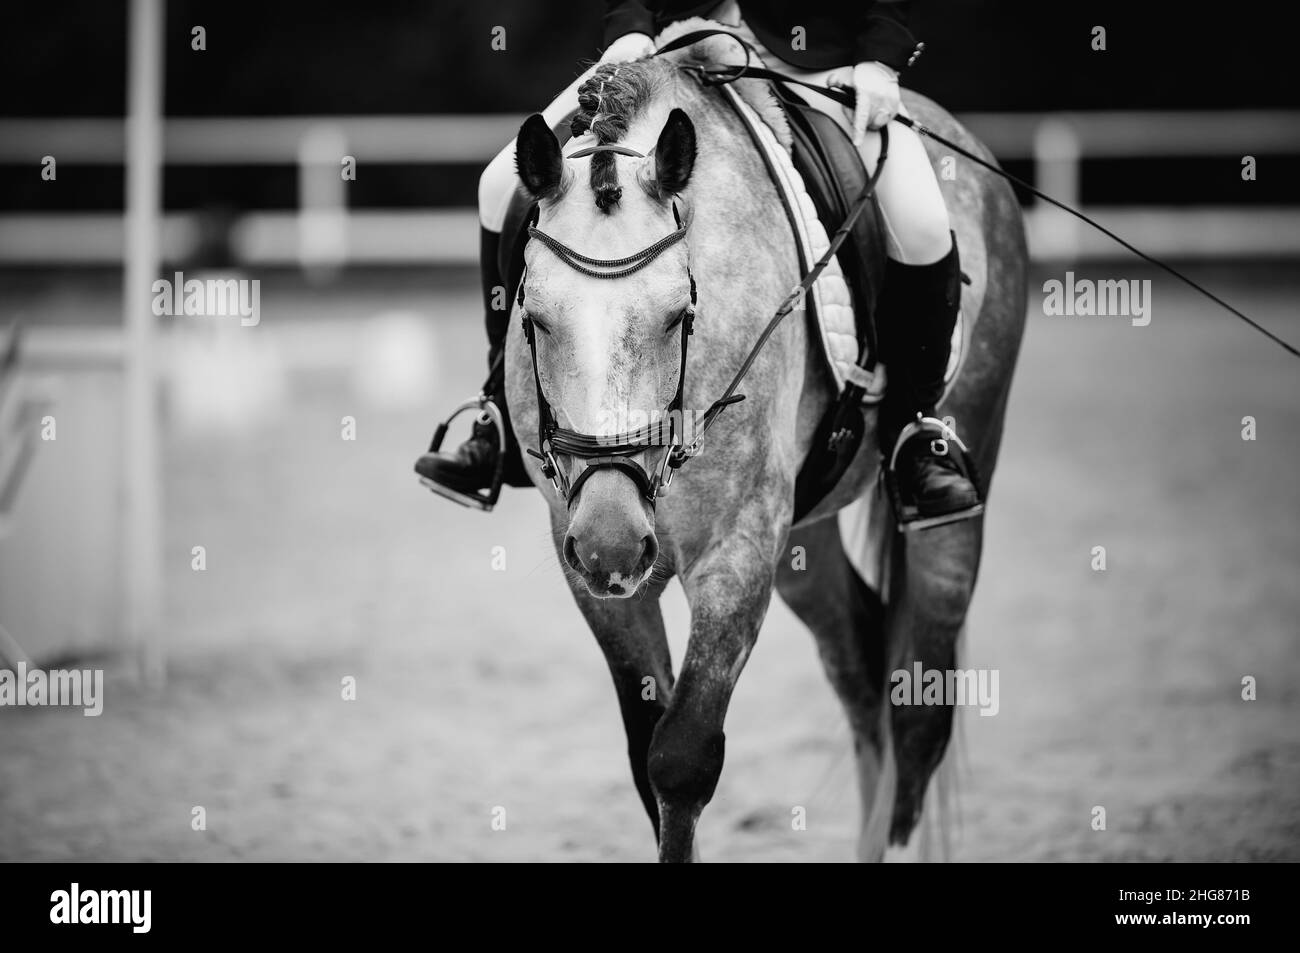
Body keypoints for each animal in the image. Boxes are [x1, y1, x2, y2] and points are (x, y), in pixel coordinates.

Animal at [503, 29, 1027, 862]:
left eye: (679, 314)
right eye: (535, 317)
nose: (614, 541)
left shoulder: (739, 550)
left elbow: (680, 756)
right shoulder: (584, 558)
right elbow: (645, 753)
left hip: (956, 485)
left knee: (918, 709)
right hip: (802, 542)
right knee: (860, 668)